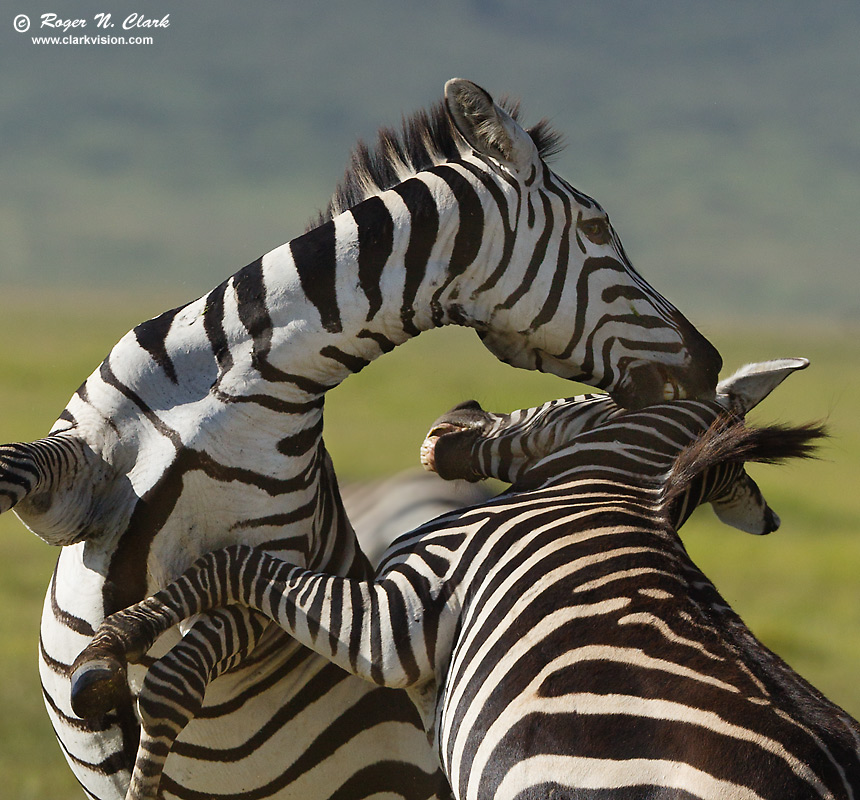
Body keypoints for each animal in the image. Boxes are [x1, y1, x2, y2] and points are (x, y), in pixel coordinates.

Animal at [0, 76, 724, 800]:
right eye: (598, 230)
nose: (709, 362)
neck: (236, 378)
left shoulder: (276, 571)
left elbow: (174, 680)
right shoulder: (74, 480)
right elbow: (16, 465)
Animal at [72, 360, 860, 796]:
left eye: (580, 395)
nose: (460, 411)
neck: (601, 487)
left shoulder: (396, 621)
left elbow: (234, 563)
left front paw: (113, 649)